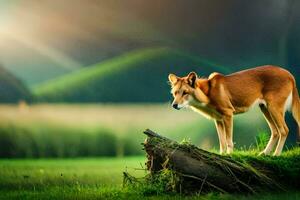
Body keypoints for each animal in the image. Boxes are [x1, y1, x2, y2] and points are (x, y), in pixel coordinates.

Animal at [169, 66, 300, 156]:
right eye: (175, 93)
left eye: (185, 92)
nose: (174, 105)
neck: (208, 93)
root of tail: (290, 74)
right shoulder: (218, 119)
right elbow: (222, 141)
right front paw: (222, 155)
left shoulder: (228, 114)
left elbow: (228, 140)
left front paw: (229, 155)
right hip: (265, 108)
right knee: (275, 132)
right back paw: (264, 153)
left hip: (274, 108)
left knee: (284, 130)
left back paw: (276, 155)